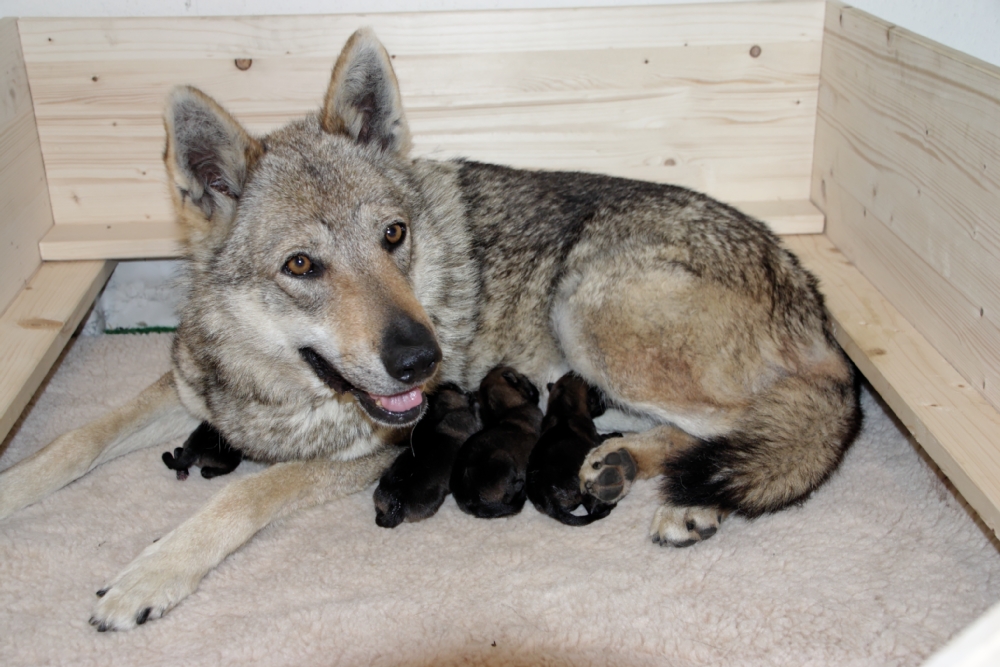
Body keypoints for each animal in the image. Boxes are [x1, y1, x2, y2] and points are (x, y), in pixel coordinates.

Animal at [452, 368, 544, 520]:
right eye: (525, 379)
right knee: (508, 497)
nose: (537, 390)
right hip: (502, 457)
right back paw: (520, 486)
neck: (508, 409)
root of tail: (471, 501)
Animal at [528, 376, 620, 528]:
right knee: (593, 509)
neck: (562, 408)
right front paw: (616, 434)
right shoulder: (595, 437)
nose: (606, 397)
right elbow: (604, 438)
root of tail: (549, 501)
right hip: (584, 487)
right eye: (596, 393)